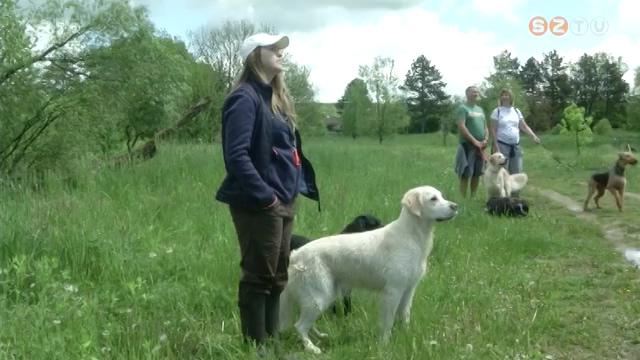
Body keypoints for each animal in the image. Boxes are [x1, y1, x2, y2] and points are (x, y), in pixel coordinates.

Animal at [278, 187, 456, 352]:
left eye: (441, 196)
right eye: (433, 199)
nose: (455, 206)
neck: (412, 236)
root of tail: (295, 255)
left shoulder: (408, 290)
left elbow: (405, 316)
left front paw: (406, 336)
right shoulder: (393, 291)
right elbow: (387, 322)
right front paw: (384, 345)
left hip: (325, 296)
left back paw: (320, 336)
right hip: (319, 296)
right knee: (299, 325)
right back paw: (312, 348)